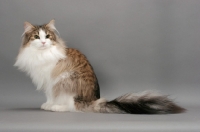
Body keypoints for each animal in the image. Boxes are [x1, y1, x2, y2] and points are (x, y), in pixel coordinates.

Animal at [14, 19, 186, 113]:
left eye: (48, 36)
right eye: (37, 37)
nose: (43, 42)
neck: (41, 54)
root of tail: (92, 100)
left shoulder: (51, 79)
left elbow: (50, 95)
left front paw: (50, 105)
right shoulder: (46, 80)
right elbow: (48, 95)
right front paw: (47, 104)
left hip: (65, 80)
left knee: (71, 105)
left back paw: (57, 107)